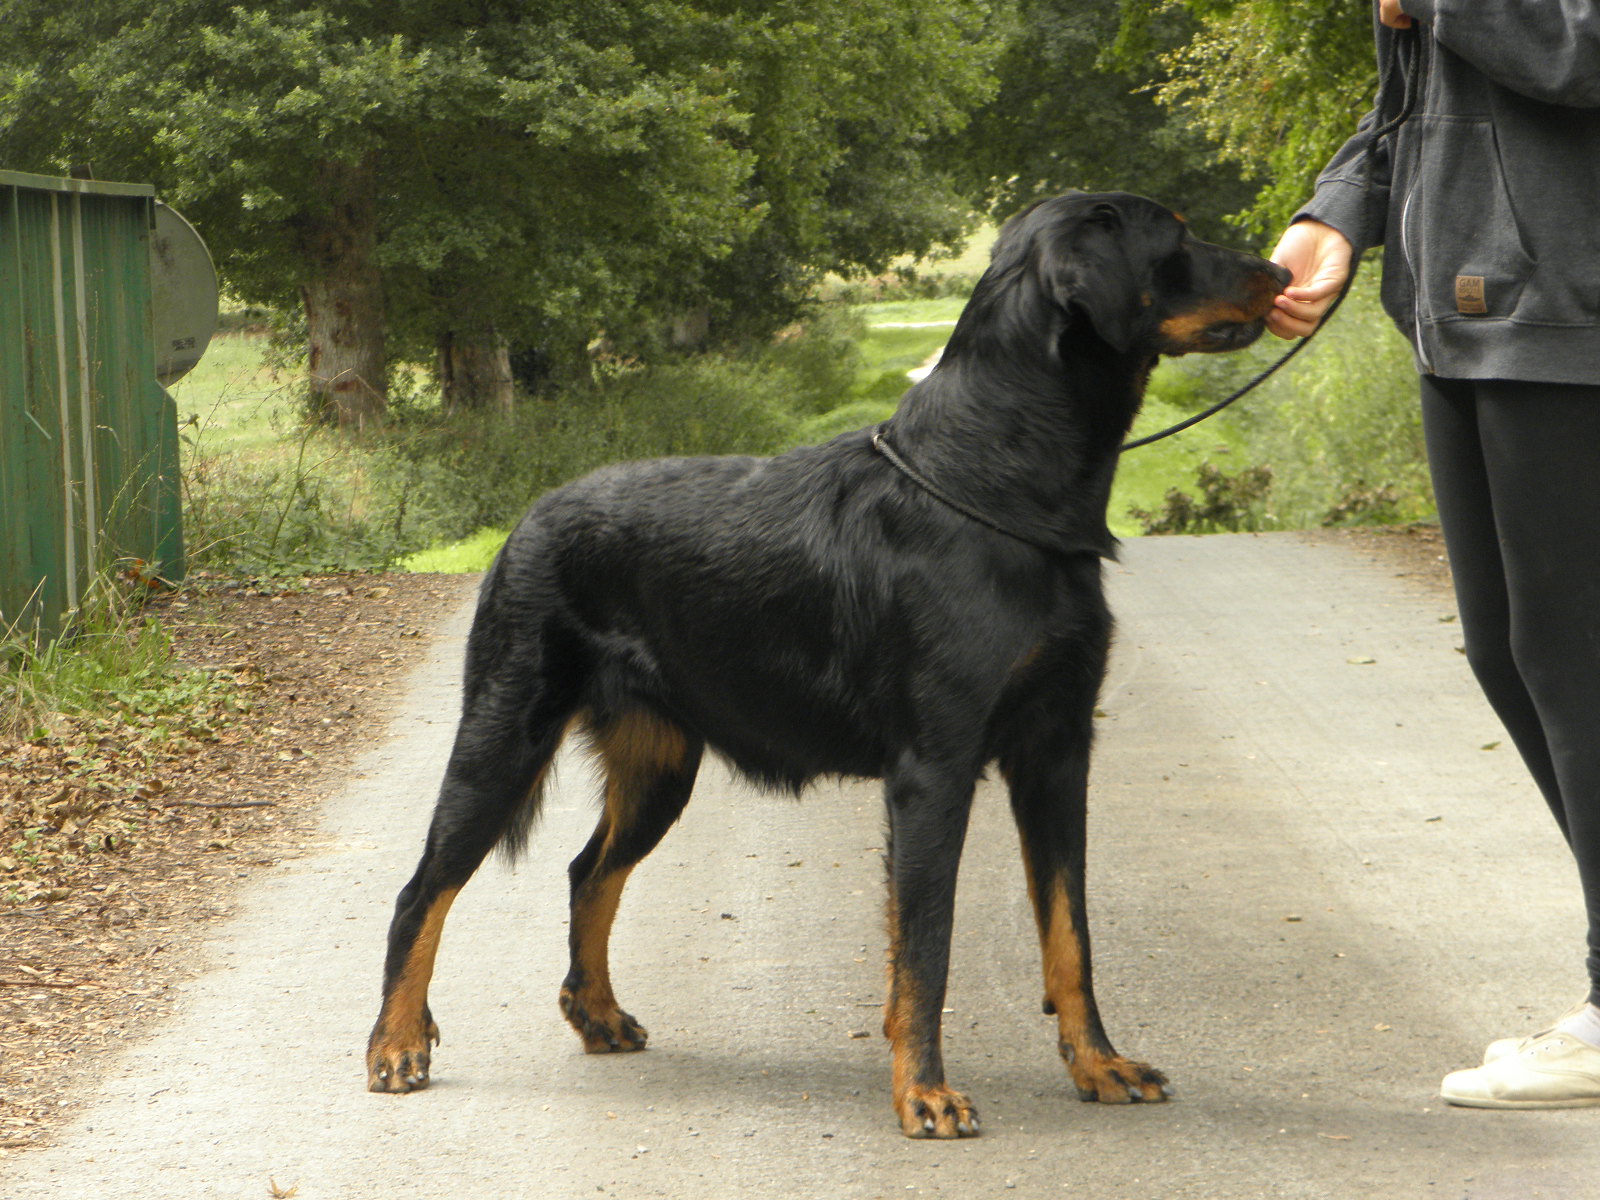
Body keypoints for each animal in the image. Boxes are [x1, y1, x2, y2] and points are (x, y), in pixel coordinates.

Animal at [368, 192, 1292, 1139]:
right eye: (1174, 237)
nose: (1282, 270)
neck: (1000, 484)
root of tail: (526, 520)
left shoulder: (1058, 751)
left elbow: (1071, 933)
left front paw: (1099, 1064)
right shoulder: (935, 768)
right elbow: (926, 946)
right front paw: (924, 1092)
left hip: (659, 763)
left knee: (588, 873)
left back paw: (598, 1015)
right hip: (504, 734)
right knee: (422, 892)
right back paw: (397, 1045)